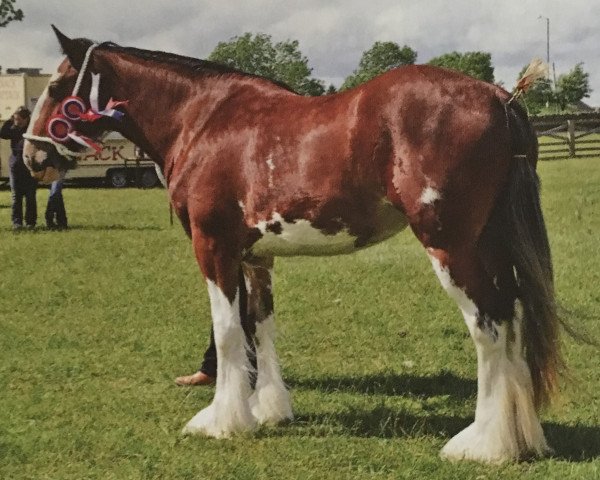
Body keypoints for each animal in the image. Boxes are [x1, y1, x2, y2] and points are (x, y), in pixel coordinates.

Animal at [23, 26, 564, 462]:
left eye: (56, 87)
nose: (31, 156)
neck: (203, 120)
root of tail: (500, 98)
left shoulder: (213, 248)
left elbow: (227, 331)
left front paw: (220, 422)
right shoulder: (255, 256)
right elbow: (260, 326)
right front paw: (268, 410)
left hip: (450, 246)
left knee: (488, 325)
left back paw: (484, 445)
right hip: (489, 244)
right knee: (512, 316)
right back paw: (521, 439)